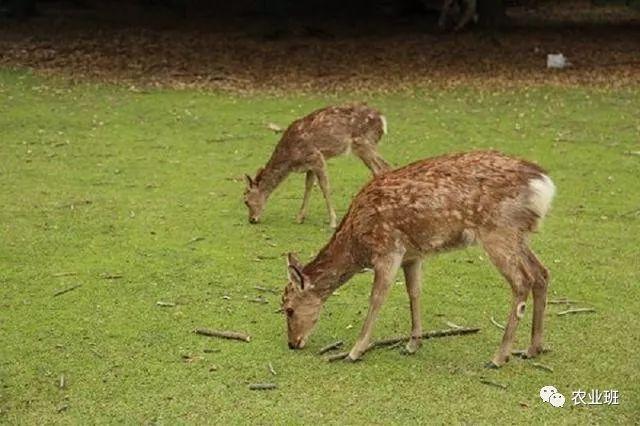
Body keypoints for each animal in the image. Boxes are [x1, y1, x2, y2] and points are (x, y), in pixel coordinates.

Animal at [245, 103, 390, 228]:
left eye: (245, 200)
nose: (252, 219)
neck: (290, 159)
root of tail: (382, 119)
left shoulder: (317, 157)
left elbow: (324, 187)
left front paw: (333, 221)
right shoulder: (310, 165)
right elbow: (308, 186)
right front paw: (299, 218)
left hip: (364, 143)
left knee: (382, 168)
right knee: (382, 168)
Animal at [282, 151, 556, 368]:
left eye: (288, 308)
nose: (292, 343)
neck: (357, 243)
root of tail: (543, 184)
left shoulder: (388, 249)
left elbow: (377, 298)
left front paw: (354, 351)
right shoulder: (412, 255)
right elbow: (414, 293)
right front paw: (413, 344)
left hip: (498, 231)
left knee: (522, 281)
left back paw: (499, 357)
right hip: (519, 235)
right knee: (542, 273)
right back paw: (532, 349)